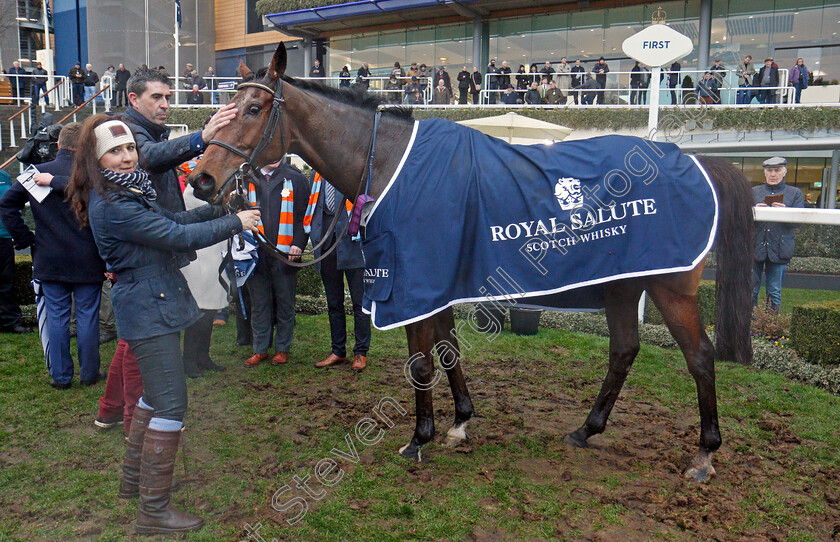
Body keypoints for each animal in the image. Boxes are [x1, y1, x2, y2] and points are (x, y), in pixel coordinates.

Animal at [189, 43, 756, 484]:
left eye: (254, 108)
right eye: (226, 104)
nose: (201, 179)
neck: (391, 162)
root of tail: (695, 160)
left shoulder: (413, 285)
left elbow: (422, 361)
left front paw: (418, 438)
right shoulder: (434, 285)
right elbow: (448, 353)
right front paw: (460, 422)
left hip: (670, 289)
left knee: (700, 356)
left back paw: (703, 455)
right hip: (621, 283)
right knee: (624, 351)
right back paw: (586, 429)